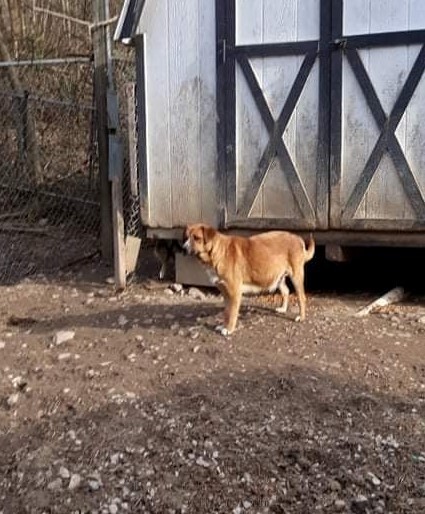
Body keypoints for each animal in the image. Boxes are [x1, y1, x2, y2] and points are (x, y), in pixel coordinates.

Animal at [182, 222, 314, 334]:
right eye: (186, 237)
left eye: (197, 238)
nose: (183, 248)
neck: (217, 252)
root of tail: (298, 238)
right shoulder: (226, 294)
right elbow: (226, 312)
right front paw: (223, 325)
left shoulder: (234, 293)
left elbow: (232, 313)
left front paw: (229, 329)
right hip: (278, 277)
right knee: (286, 291)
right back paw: (283, 308)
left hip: (296, 276)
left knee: (302, 298)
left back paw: (301, 317)